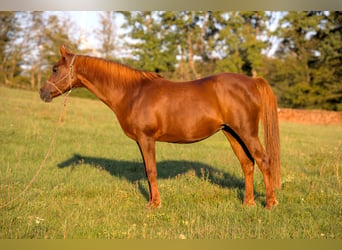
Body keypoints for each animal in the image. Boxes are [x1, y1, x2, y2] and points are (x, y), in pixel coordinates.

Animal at [40, 46, 280, 209]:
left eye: (55, 69)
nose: (42, 93)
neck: (133, 93)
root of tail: (252, 81)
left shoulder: (147, 138)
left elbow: (151, 171)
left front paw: (154, 204)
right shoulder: (140, 141)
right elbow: (147, 172)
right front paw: (151, 201)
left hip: (247, 133)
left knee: (263, 160)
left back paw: (270, 203)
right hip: (231, 133)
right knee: (247, 164)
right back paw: (248, 203)